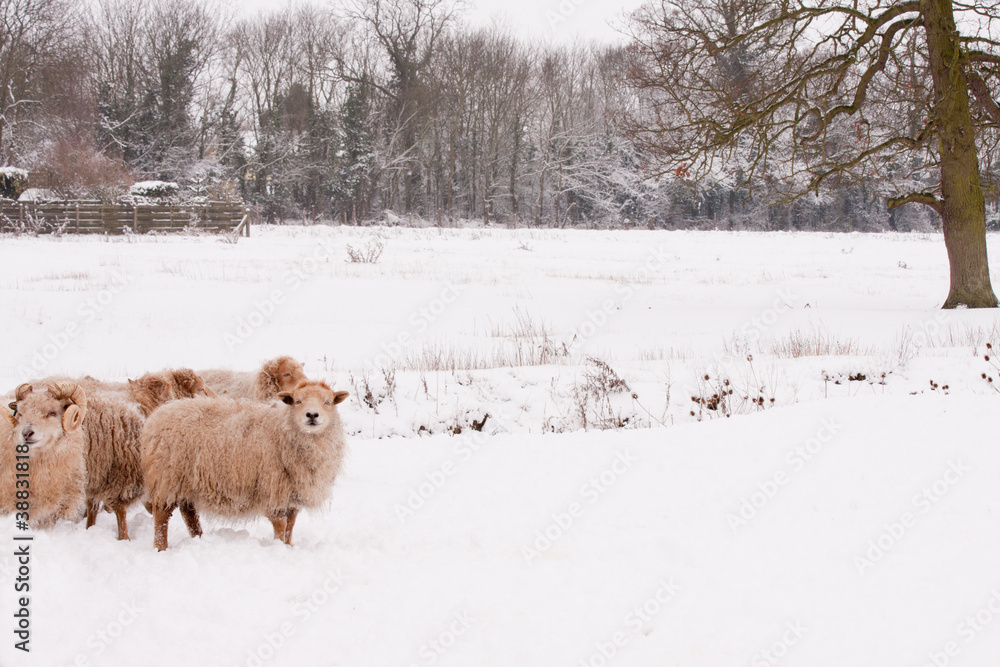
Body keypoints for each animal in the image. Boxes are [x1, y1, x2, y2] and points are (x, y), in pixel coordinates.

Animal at [142, 380, 349, 551]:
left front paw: (289, 546)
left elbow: (290, 525)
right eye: (297, 401)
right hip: (168, 476)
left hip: (187, 480)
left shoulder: (291, 493)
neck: (282, 430)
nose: (312, 415)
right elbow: (281, 525)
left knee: (189, 512)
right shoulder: (272, 489)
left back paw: (198, 538)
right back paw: (161, 547)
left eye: (328, 402)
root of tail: (157, 415)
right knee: (162, 515)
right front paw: (279, 548)